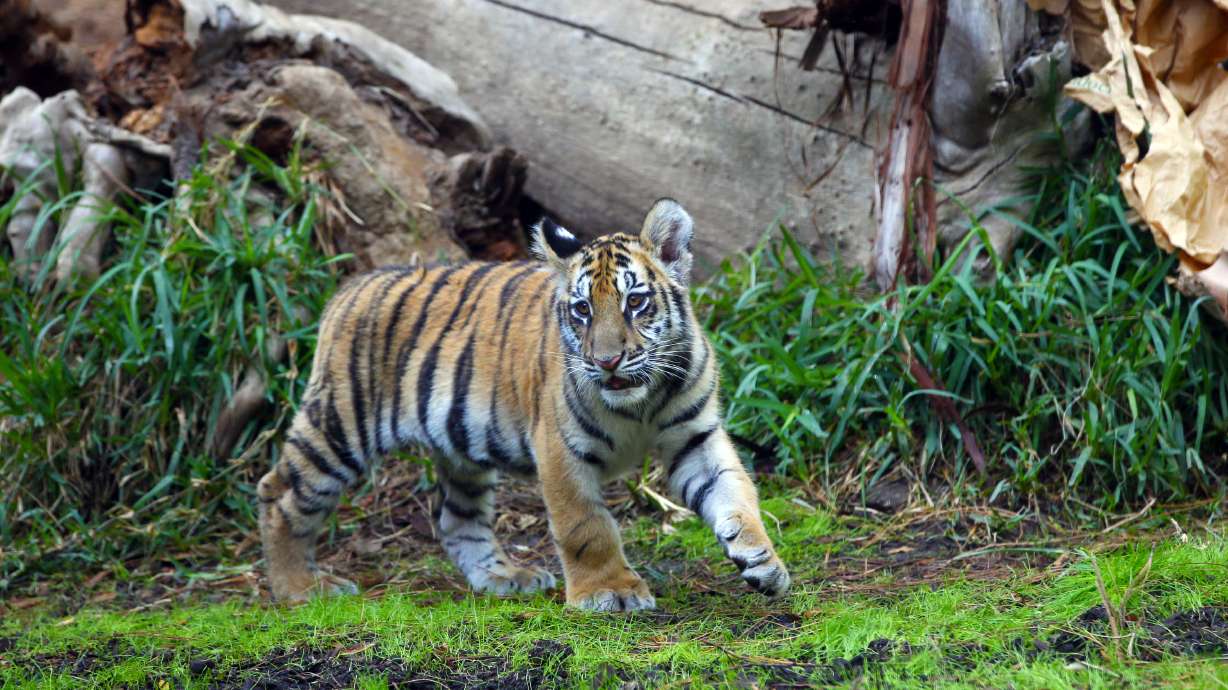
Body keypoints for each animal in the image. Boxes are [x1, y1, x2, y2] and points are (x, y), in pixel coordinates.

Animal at [256, 198, 791, 611]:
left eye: (635, 302)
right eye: (582, 310)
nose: (607, 361)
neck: (640, 401)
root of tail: (348, 288)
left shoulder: (695, 437)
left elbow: (736, 493)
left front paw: (762, 560)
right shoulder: (559, 448)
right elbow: (585, 526)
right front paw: (609, 592)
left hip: (459, 448)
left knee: (457, 519)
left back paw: (503, 578)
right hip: (342, 425)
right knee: (279, 494)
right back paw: (300, 589)